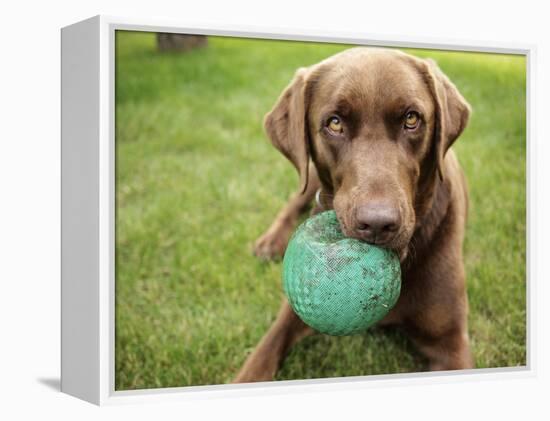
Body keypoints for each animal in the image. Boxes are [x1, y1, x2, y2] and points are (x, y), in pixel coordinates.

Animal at [236, 47, 474, 382]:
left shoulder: (451, 344)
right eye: (334, 123)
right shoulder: (294, 312)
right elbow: (261, 357)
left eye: (412, 118)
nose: (377, 223)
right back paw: (270, 242)